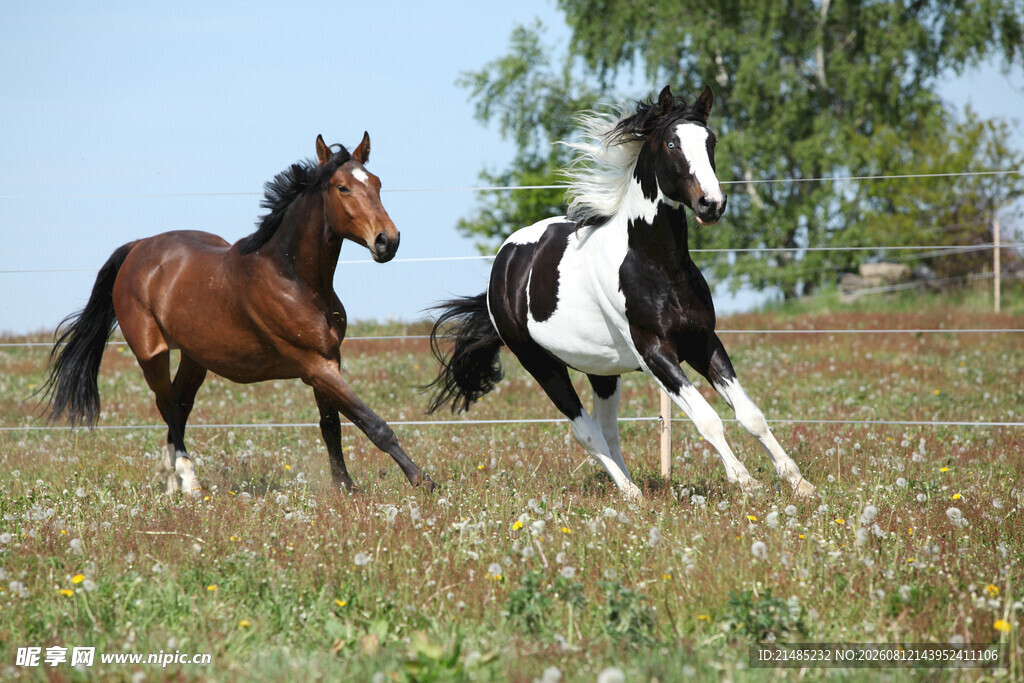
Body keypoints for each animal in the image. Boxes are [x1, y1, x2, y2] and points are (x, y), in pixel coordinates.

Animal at [41, 133, 434, 496]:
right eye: (343, 187)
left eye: (377, 183)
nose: (388, 241)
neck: (294, 279)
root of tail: (138, 248)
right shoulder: (313, 364)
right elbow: (373, 424)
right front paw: (423, 481)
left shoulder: (328, 359)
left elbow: (331, 426)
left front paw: (345, 488)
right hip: (151, 353)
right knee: (167, 404)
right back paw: (188, 480)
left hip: (195, 358)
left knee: (179, 405)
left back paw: (171, 482)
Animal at [427, 86, 815, 502]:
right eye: (672, 142)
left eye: (710, 140)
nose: (712, 204)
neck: (658, 266)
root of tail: (504, 263)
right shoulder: (656, 353)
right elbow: (708, 419)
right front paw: (745, 481)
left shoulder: (703, 342)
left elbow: (750, 414)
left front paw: (798, 482)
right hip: (541, 364)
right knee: (585, 431)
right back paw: (631, 494)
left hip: (602, 371)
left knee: (607, 429)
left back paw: (634, 492)